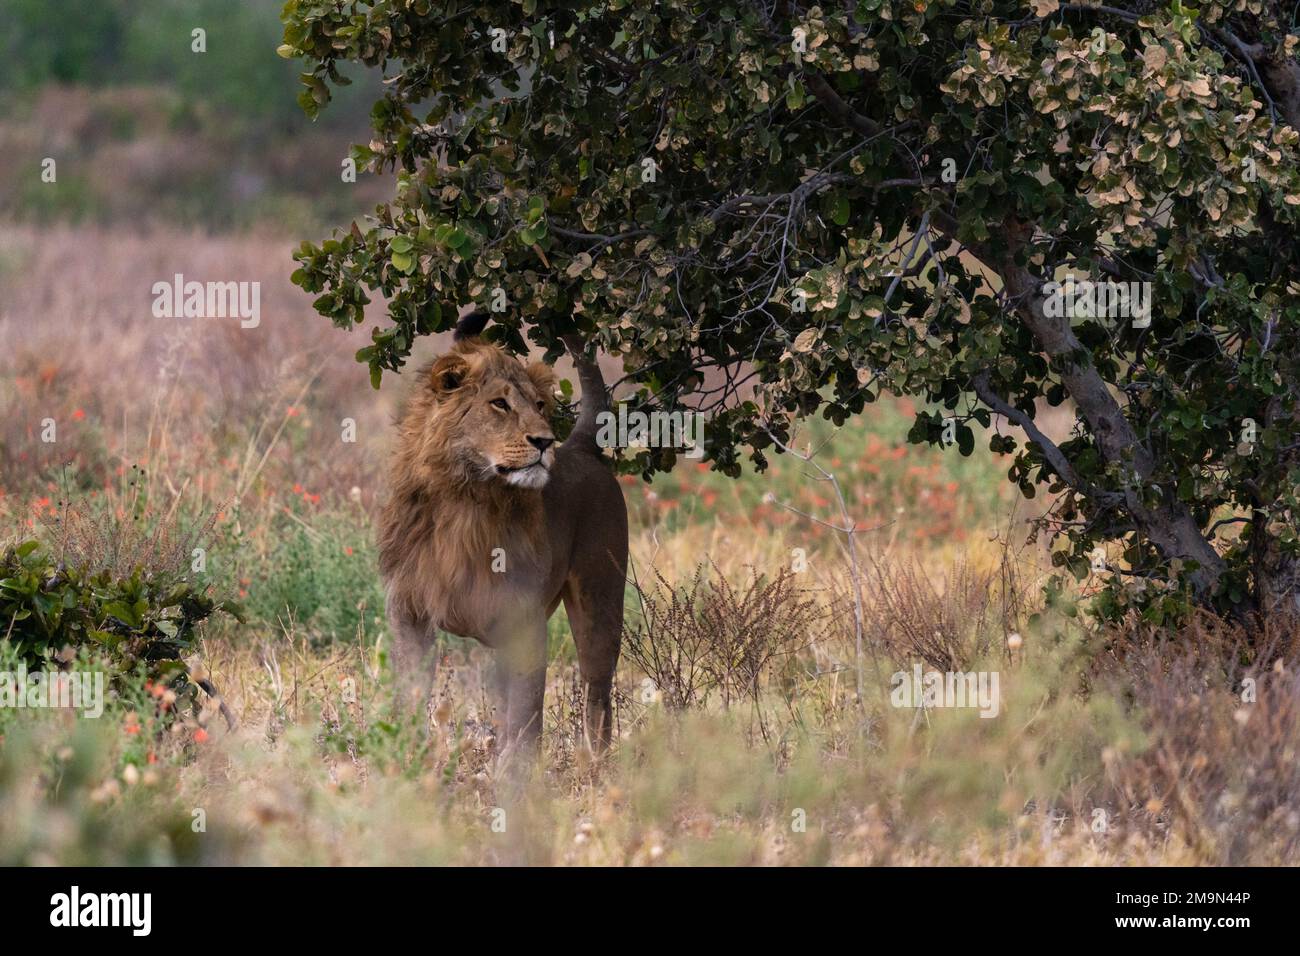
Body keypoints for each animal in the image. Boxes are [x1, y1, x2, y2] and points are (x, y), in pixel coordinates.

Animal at [379, 314, 626, 764]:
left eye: (540, 405)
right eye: (500, 404)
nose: (545, 441)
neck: (465, 498)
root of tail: (581, 447)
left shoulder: (524, 621)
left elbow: (526, 720)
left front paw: (516, 777)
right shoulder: (409, 613)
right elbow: (411, 698)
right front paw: (406, 759)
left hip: (600, 606)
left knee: (597, 699)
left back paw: (595, 768)